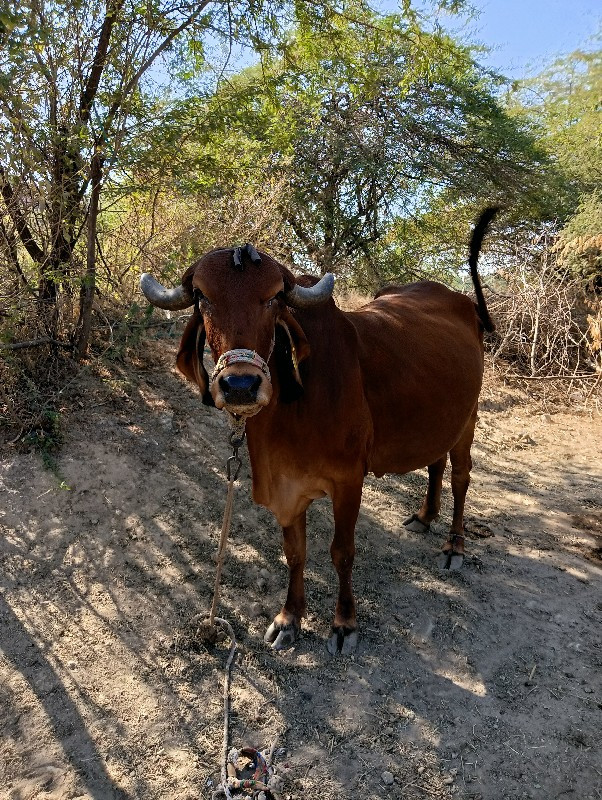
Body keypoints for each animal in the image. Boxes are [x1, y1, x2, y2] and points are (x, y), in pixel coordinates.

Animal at [141, 209, 496, 652]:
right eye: (203, 298)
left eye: (274, 298)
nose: (240, 385)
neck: (293, 411)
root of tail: (461, 300)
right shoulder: (286, 488)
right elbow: (295, 552)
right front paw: (289, 617)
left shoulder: (348, 480)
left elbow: (342, 552)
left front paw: (344, 623)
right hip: (438, 419)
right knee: (435, 464)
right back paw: (424, 516)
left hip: (468, 418)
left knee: (462, 477)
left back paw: (454, 545)